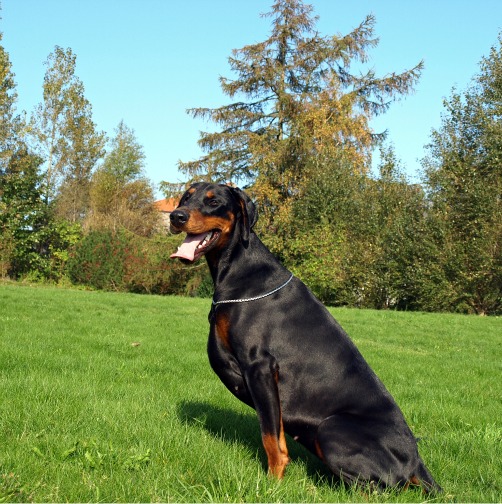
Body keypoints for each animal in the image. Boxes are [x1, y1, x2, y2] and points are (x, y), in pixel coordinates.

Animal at [170, 182, 441, 492]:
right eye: (186, 196)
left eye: (213, 202)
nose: (175, 216)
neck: (238, 268)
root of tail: (417, 461)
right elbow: (276, 435)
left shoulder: (261, 367)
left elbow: (271, 438)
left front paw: (271, 485)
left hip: (331, 429)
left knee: (382, 488)